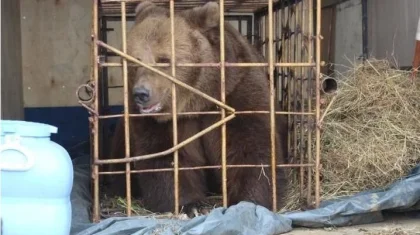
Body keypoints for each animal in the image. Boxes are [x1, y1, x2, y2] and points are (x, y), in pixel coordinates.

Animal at [103, 0, 290, 216]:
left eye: (163, 59)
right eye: (134, 61)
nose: (141, 93)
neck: (197, 102)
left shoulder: (237, 93)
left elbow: (249, 149)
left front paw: (248, 201)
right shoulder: (159, 122)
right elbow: (165, 156)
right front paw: (189, 205)